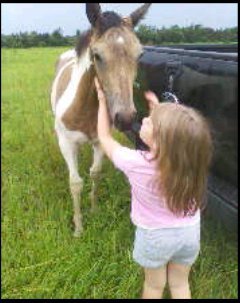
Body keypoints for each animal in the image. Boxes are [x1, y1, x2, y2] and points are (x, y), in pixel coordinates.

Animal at [50, 3, 152, 239]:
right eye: (96, 55)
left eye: (140, 55)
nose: (125, 118)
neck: (84, 109)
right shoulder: (66, 143)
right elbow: (75, 183)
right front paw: (78, 228)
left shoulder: (99, 142)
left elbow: (95, 174)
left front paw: (94, 210)